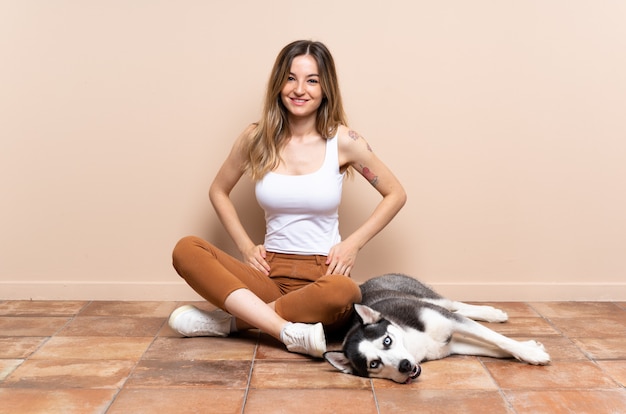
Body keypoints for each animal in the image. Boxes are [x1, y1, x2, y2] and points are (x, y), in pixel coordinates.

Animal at [324, 274, 548, 384]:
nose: (405, 365)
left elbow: (497, 339)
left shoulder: (450, 321)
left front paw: (530, 352)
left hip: (431, 299)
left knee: (455, 305)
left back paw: (492, 313)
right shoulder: (451, 346)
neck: (415, 344)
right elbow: (494, 349)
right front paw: (529, 349)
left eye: (387, 341)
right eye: (374, 364)